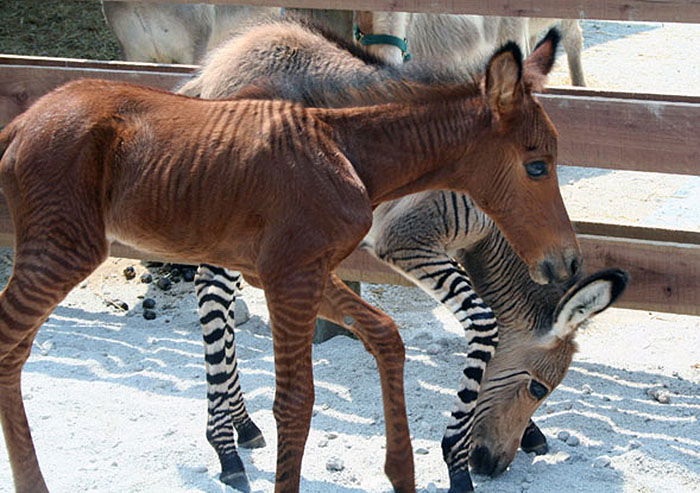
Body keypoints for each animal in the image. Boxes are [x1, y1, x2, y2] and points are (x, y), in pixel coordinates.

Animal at [0, 36, 580, 490]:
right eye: (536, 165)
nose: (567, 261)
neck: (346, 151)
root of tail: (22, 123)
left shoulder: (295, 274)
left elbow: (386, 337)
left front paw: (404, 473)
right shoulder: (291, 278)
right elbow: (297, 402)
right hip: (64, 249)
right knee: (11, 344)